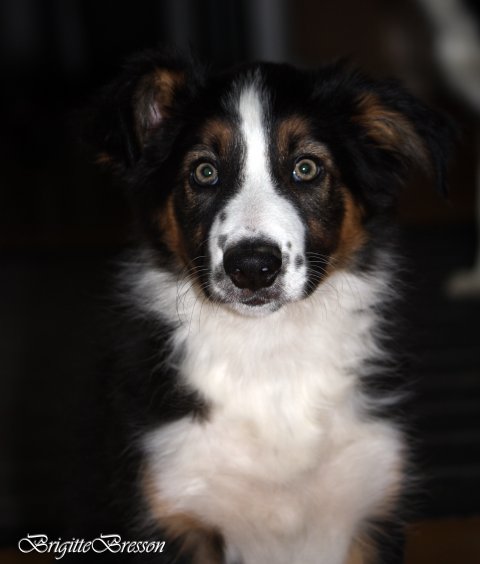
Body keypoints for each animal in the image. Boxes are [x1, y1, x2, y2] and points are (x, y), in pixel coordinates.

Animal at [91, 50, 452, 564]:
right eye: (204, 172)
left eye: (306, 168)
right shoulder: (173, 511)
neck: (269, 349)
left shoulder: (370, 500)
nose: (252, 268)